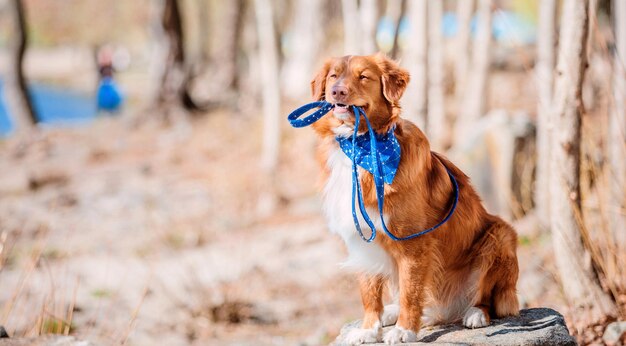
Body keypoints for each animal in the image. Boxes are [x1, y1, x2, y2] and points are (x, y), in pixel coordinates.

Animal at [308, 54, 516, 344]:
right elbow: (369, 291)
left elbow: (411, 290)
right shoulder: (362, 236)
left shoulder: (413, 243)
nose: (337, 91)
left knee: (487, 298)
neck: (363, 146)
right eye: (333, 76)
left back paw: (475, 313)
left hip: (501, 236)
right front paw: (369, 329)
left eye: (364, 77)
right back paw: (392, 312)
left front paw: (405, 330)